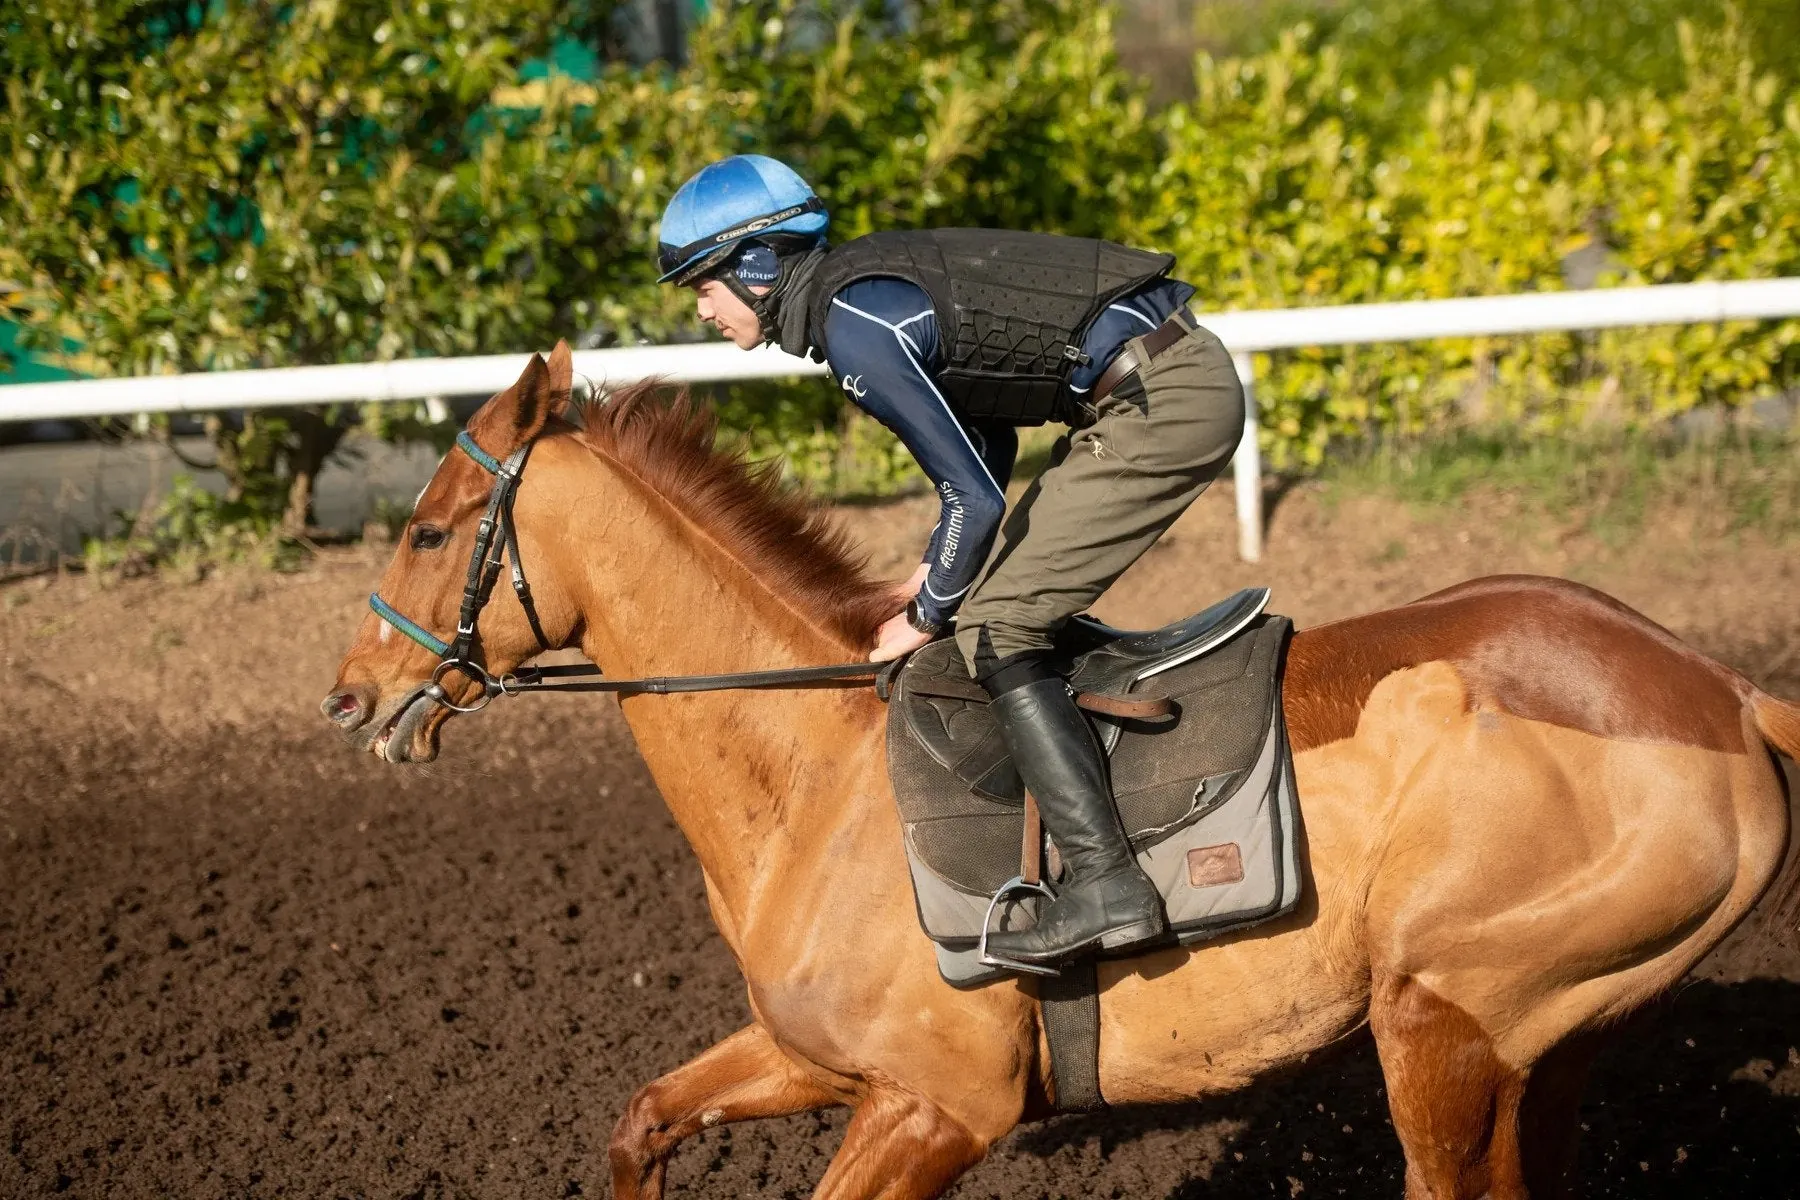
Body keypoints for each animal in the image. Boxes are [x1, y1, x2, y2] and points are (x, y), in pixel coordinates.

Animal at [324, 341, 1800, 1194]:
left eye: (429, 526)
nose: (350, 697)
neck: (814, 779)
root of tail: (1722, 691)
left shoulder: (939, 1108)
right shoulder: (818, 1057)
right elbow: (640, 1120)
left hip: (1442, 1023)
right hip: (1546, 1047)